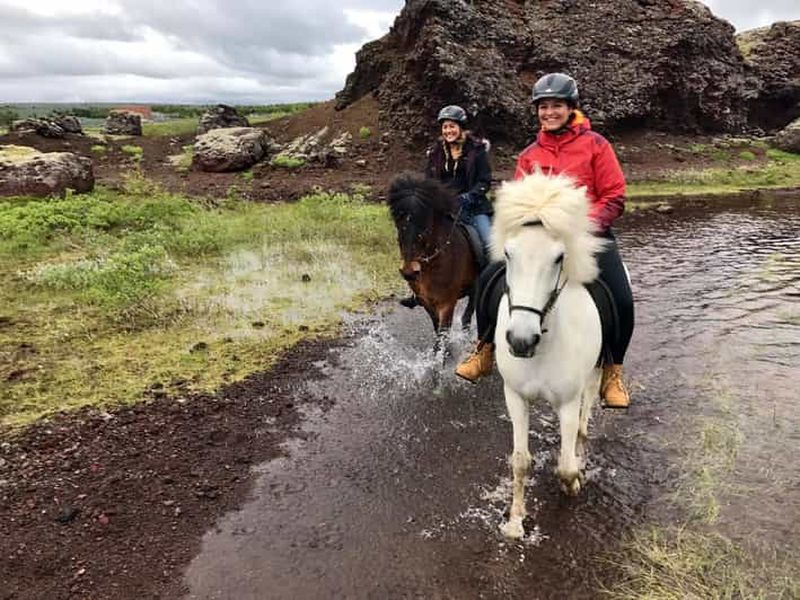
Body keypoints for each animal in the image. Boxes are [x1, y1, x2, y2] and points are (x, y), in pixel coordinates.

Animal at [387, 173, 480, 350]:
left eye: (425, 228)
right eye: (399, 226)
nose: (409, 271)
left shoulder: (447, 303)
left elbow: (442, 334)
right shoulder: (426, 302)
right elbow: (438, 331)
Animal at [490, 170, 607, 539]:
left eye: (558, 257)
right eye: (508, 253)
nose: (521, 340)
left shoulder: (567, 401)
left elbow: (566, 468)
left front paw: (573, 485)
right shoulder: (515, 396)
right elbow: (520, 461)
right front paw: (515, 520)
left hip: (596, 373)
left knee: (586, 414)